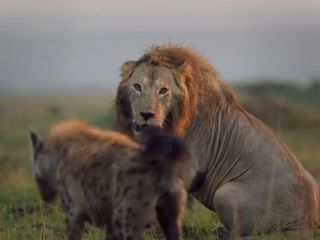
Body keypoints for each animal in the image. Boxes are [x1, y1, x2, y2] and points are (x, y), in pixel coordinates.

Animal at [114, 44, 318, 238]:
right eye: (137, 87)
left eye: (163, 90)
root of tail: (305, 224)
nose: (146, 114)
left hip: (224, 194)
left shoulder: (187, 168)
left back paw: (221, 232)